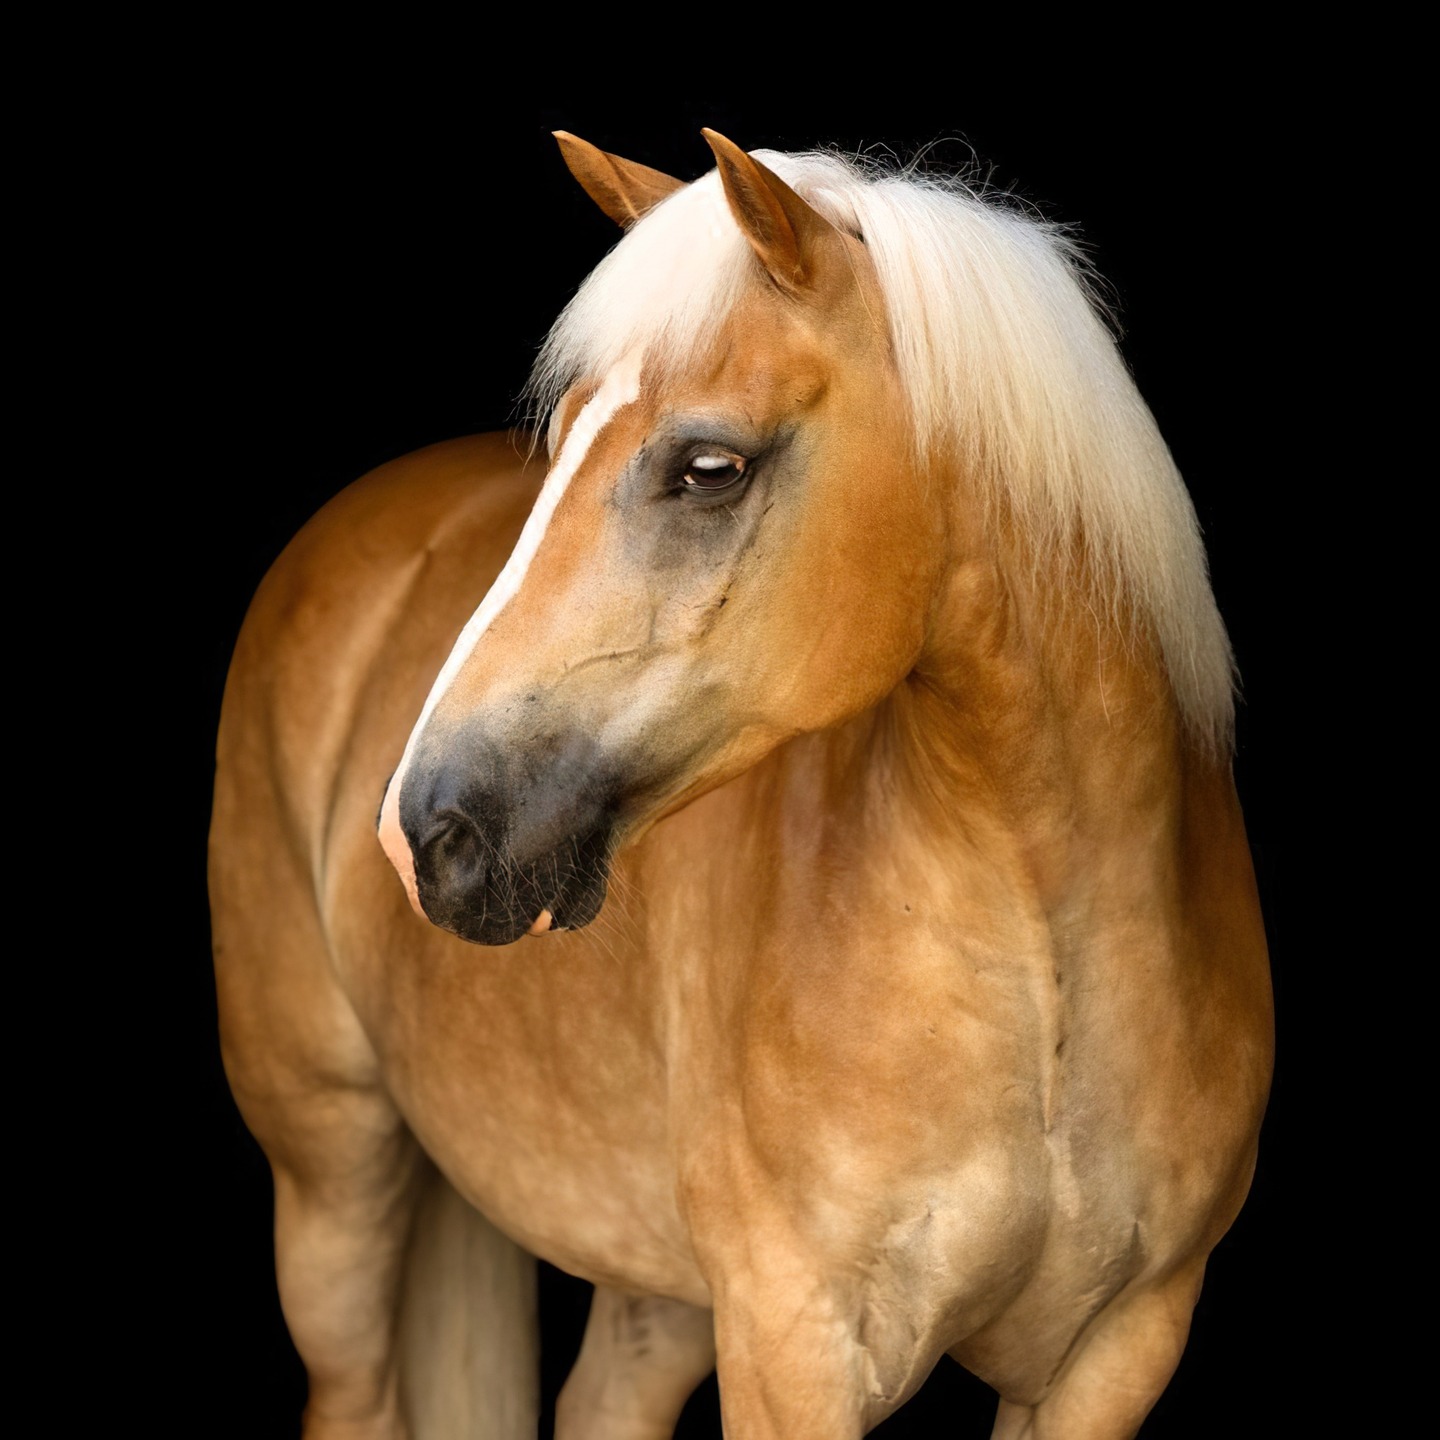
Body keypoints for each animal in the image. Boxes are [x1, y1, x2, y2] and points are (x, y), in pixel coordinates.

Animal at [209, 129, 1273, 1438]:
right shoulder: (791, 1338)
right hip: (333, 1177)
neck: (1045, 966)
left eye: (708, 467)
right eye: (563, 438)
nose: (426, 833)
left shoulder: (1119, 1349)